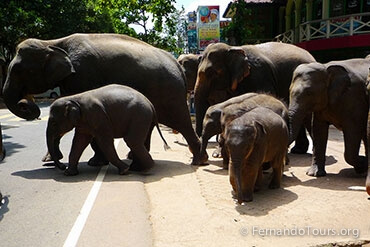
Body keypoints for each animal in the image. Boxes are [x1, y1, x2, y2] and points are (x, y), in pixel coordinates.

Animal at [1, 32, 201, 164]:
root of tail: (177, 65)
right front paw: (50, 160)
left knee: (181, 121)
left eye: (18, 70)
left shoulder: (83, 75)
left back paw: (199, 160)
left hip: (170, 93)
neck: (52, 42)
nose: (27, 104)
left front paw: (96, 162)